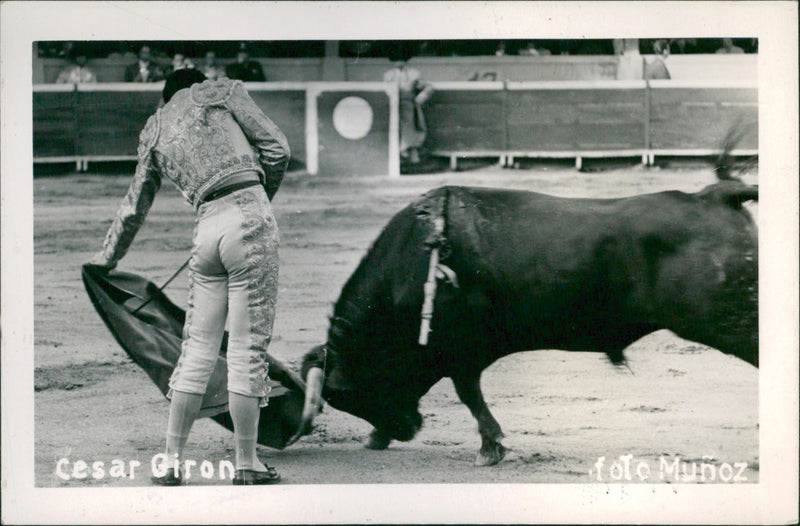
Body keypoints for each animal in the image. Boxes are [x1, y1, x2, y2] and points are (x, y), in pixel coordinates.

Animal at [298, 180, 756, 466]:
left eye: (344, 395)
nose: (401, 430)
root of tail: (715, 195)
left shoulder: (461, 350)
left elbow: (469, 394)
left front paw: (490, 447)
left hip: (730, 322)